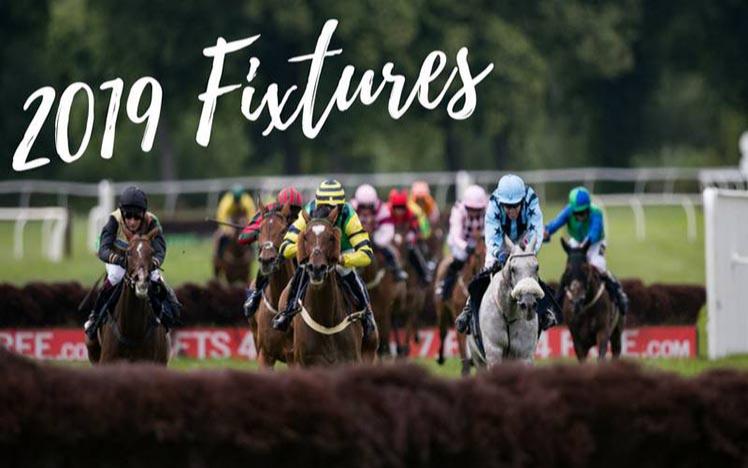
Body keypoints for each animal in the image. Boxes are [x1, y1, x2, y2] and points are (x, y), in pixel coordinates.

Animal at [468, 236, 544, 368]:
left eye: (537, 267)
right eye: (513, 269)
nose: (528, 305)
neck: (509, 315)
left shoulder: (524, 355)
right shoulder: (494, 351)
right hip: (477, 358)